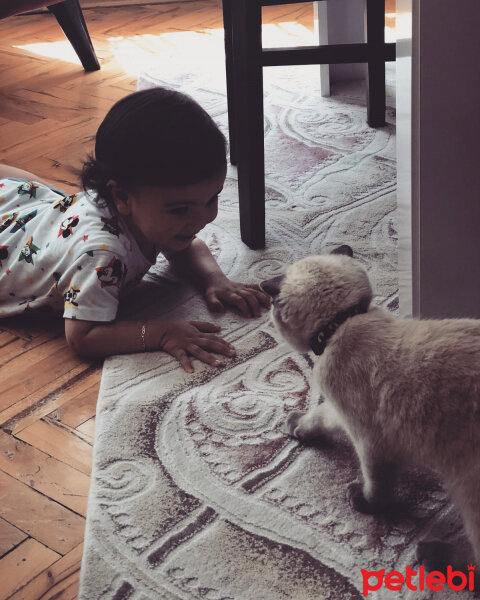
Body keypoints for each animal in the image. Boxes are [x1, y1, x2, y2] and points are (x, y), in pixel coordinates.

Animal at [260, 244, 480, 576]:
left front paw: (362, 502)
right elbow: (318, 417)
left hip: (470, 493)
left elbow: (377, 485)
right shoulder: (340, 413)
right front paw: (298, 425)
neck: (340, 324)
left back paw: (433, 556)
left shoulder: (371, 442)